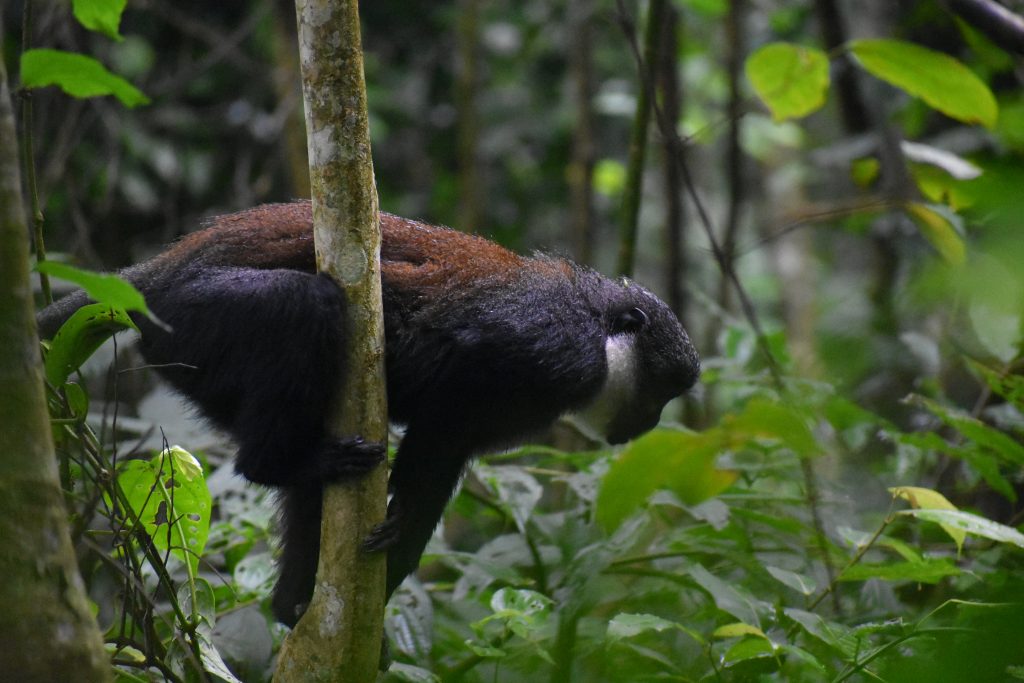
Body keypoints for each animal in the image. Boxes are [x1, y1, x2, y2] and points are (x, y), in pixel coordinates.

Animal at [37, 200, 700, 626]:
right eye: (660, 391)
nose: (649, 424)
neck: (600, 329)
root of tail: (150, 280)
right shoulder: (553, 347)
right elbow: (448, 378)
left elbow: (444, 450)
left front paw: (398, 550)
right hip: (196, 319)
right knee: (304, 304)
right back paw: (273, 465)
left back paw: (294, 602)